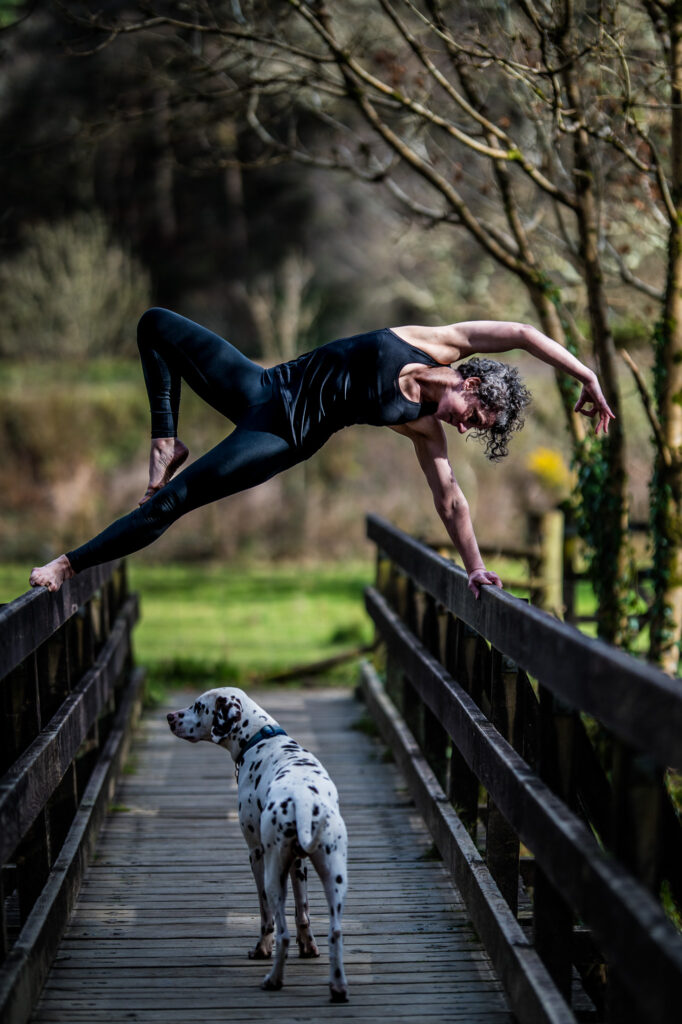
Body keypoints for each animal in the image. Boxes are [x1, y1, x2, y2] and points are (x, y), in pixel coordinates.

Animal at [163, 688, 346, 999]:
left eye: (198, 706)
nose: (169, 716)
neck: (261, 739)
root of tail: (302, 799)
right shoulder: (298, 864)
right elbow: (303, 913)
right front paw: (308, 947)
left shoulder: (256, 854)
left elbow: (265, 916)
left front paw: (262, 949)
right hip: (334, 879)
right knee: (334, 932)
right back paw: (338, 987)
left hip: (273, 876)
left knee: (281, 931)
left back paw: (274, 979)